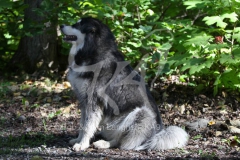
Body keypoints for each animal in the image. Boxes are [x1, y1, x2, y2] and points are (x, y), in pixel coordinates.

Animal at [59, 17, 188, 151]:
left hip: (141, 114)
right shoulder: (84, 101)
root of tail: (156, 135)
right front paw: (78, 140)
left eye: (78, 25)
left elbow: (87, 126)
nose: (61, 25)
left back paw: (104, 143)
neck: (92, 51)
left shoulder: (93, 101)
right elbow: (82, 124)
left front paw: (82, 144)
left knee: (120, 141)